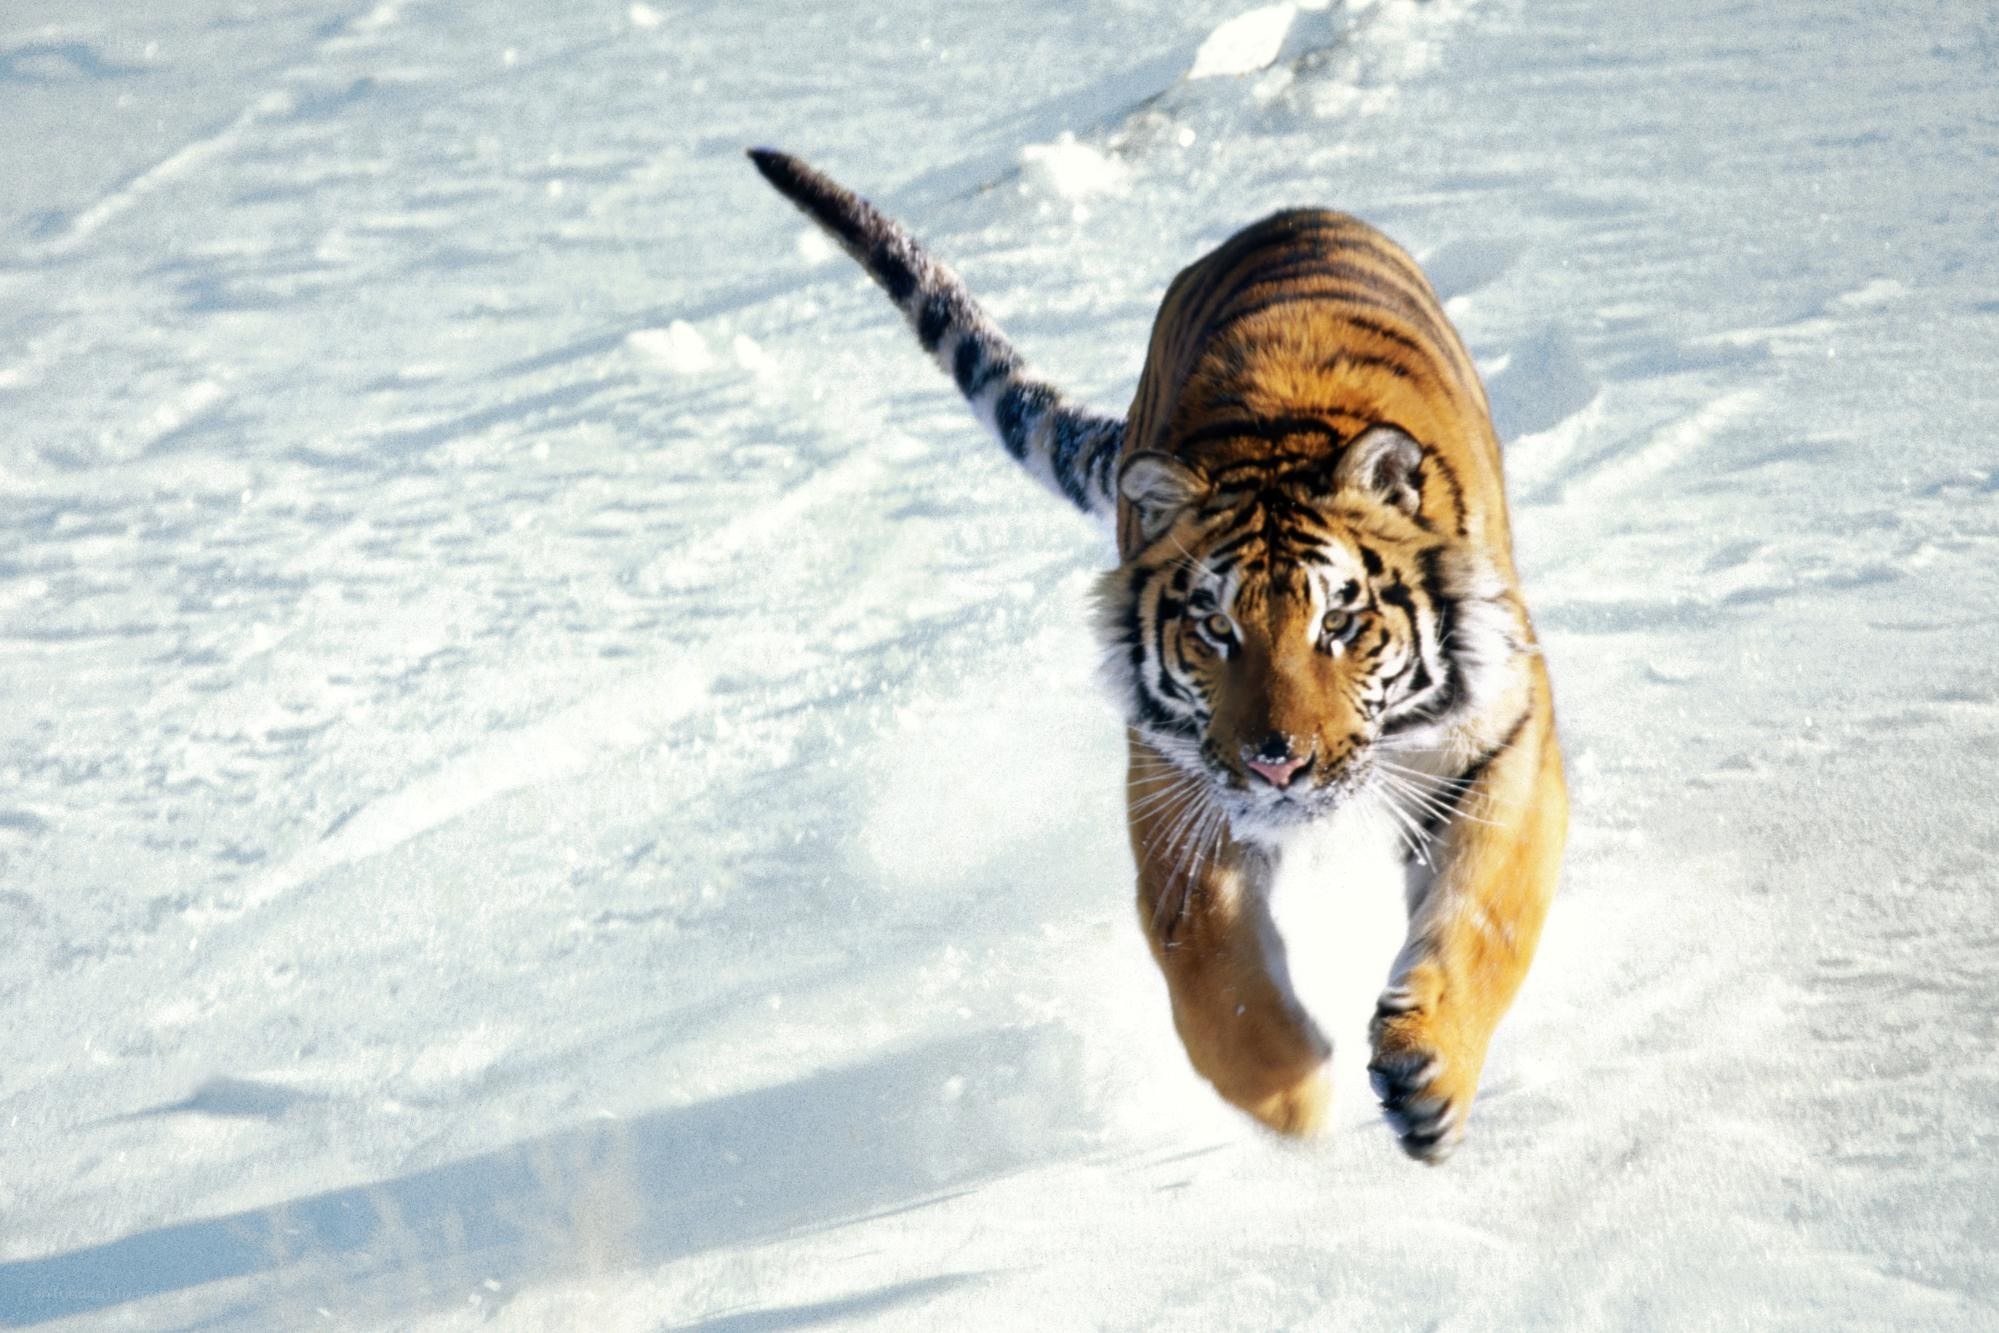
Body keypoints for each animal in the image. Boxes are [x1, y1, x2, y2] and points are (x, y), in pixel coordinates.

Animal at [749, 148, 1567, 1164]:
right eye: (1215, 628)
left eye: (1338, 622)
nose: (1277, 762)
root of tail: (1283, 214)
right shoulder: (1175, 785)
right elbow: (1211, 970)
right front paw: (1289, 1095)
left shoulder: (1502, 740)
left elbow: (1486, 915)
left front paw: (1428, 1077)